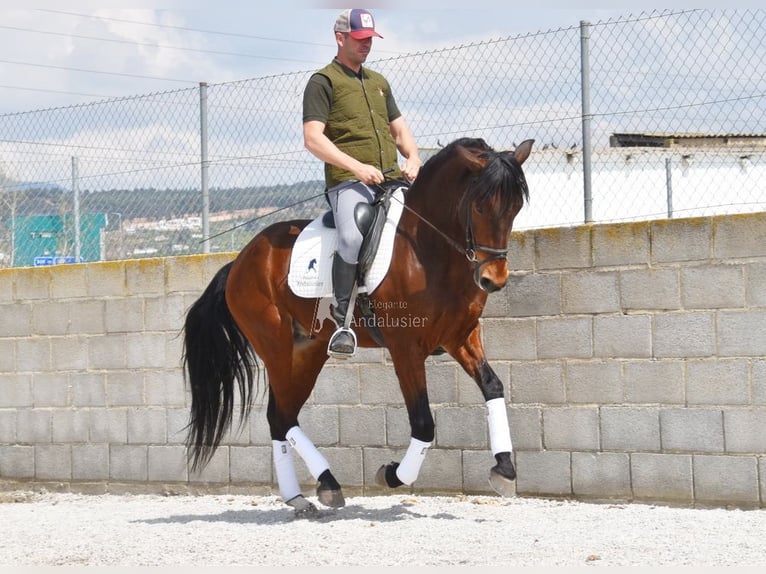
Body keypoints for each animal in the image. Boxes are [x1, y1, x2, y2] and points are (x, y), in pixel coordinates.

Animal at [183, 136, 534, 516]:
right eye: (480, 207)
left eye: (515, 209)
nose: (493, 280)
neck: (428, 249)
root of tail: (239, 261)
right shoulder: (405, 349)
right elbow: (423, 424)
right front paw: (392, 475)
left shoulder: (462, 336)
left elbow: (493, 386)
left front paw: (504, 468)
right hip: (275, 346)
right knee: (282, 417)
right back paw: (325, 485)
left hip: (307, 353)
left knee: (281, 415)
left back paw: (303, 495)